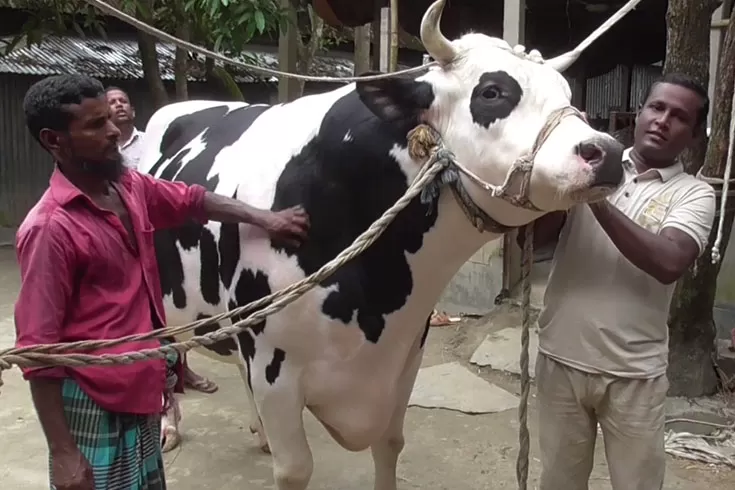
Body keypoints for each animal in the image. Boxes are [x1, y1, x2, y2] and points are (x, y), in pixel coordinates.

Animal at [141, 1, 624, 488]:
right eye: (491, 91)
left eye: (565, 92)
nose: (606, 151)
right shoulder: (274, 370)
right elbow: (295, 468)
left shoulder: (404, 360)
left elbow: (390, 444)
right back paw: (170, 428)